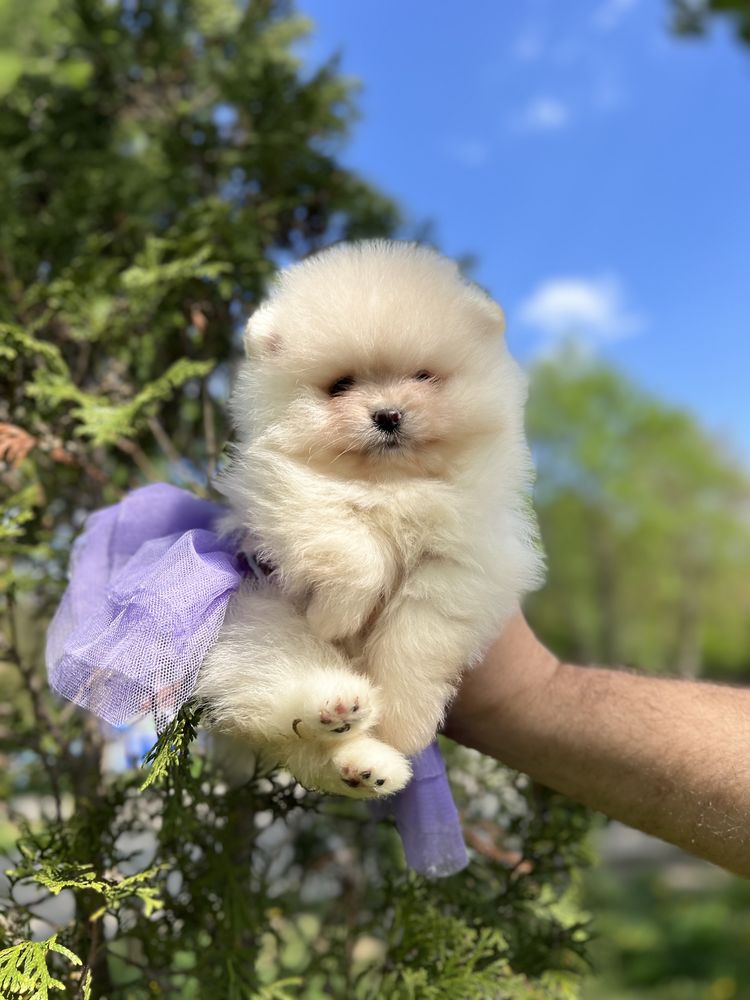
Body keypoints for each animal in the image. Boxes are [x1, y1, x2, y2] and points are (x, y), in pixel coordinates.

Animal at [197, 240, 544, 796]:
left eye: (424, 376)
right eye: (340, 385)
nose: (388, 414)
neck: (390, 486)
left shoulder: (461, 560)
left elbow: (417, 637)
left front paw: (404, 723)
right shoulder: (282, 497)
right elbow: (352, 547)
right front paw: (335, 617)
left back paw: (370, 763)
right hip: (255, 622)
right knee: (278, 701)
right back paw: (337, 706)